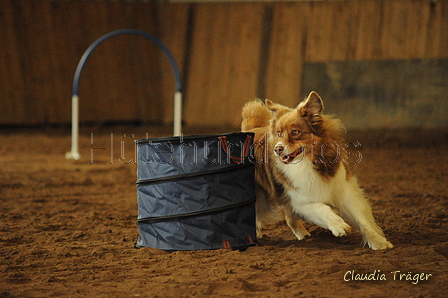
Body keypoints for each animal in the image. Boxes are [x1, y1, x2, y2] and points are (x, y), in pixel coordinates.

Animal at [242, 91, 392, 249]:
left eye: (295, 132)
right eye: (278, 133)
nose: (277, 149)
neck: (308, 162)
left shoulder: (344, 192)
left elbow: (362, 220)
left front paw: (379, 242)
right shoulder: (299, 200)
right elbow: (323, 208)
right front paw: (339, 225)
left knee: (289, 219)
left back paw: (303, 235)